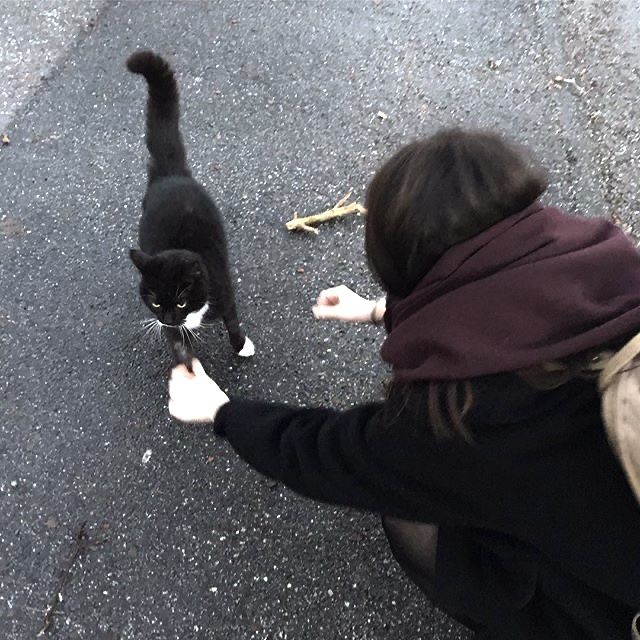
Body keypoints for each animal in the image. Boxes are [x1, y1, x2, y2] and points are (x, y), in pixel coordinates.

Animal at [126, 51, 254, 364]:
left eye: (181, 302)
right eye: (155, 301)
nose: (168, 318)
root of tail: (170, 174)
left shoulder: (224, 292)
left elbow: (232, 320)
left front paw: (241, 345)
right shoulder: (171, 331)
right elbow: (182, 351)